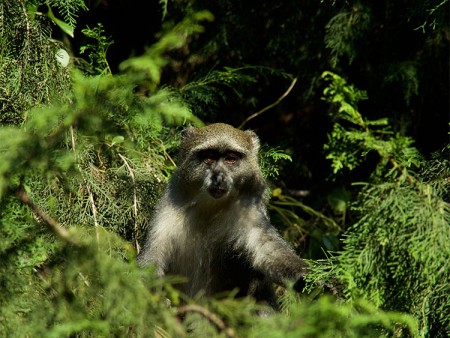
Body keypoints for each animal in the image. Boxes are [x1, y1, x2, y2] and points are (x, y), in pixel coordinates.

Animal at [135, 123, 308, 306]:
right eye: (209, 158)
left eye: (230, 159)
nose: (218, 177)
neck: (209, 208)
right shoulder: (169, 207)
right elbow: (151, 259)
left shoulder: (248, 212)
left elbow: (268, 249)